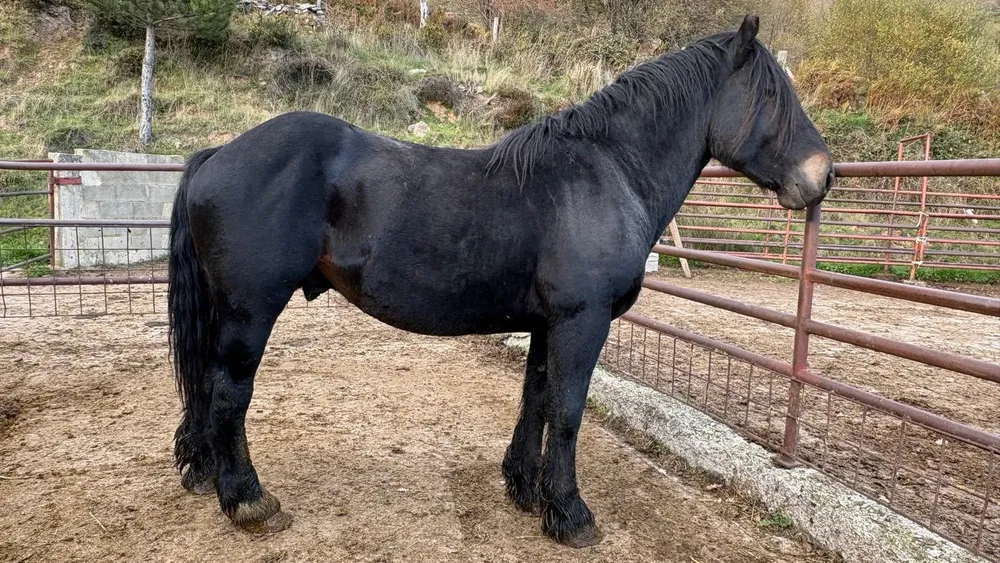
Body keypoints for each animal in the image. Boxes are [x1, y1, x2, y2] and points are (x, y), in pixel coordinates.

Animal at [167, 14, 833, 547]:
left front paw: (526, 491)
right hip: (251, 311)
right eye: (770, 93)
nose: (823, 175)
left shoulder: (547, 324)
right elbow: (568, 410)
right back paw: (249, 501)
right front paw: (570, 515)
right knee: (229, 392)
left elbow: (535, 398)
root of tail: (220, 153)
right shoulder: (582, 322)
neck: (605, 172)